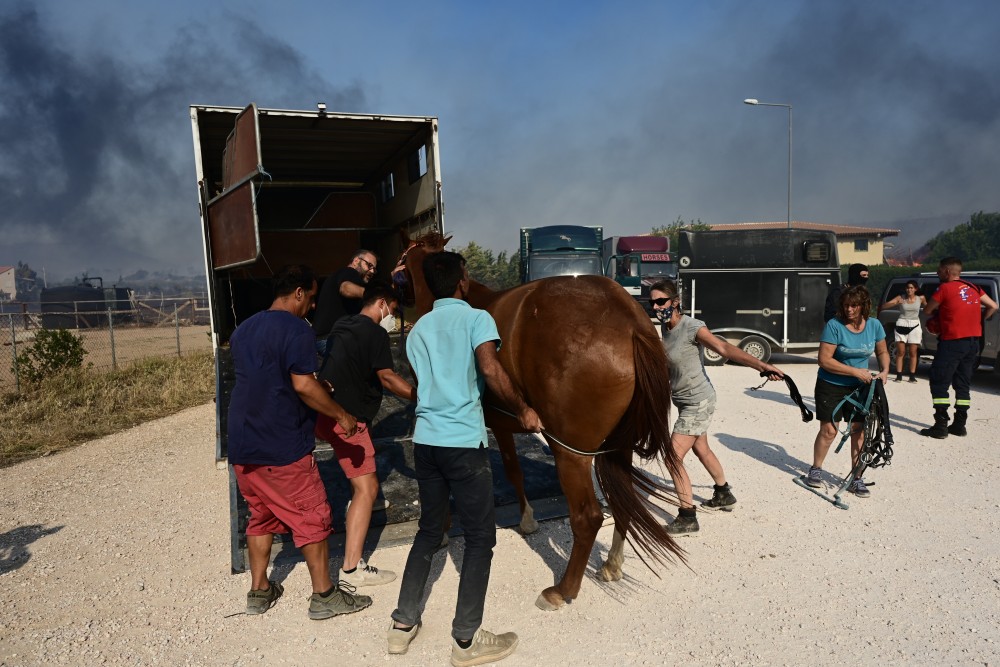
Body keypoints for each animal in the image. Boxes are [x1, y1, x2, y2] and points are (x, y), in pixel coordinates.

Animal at [394, 234, 684, 612]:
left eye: (401, 261)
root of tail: (631, 321)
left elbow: (489, 475)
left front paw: (445, 530)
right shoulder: (504, 426)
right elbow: (514, 472)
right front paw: (527, 519)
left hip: (570, 453)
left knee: (588, 518)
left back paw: (563, 589)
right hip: (617, 448)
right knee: (623, 501)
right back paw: (611, 565)